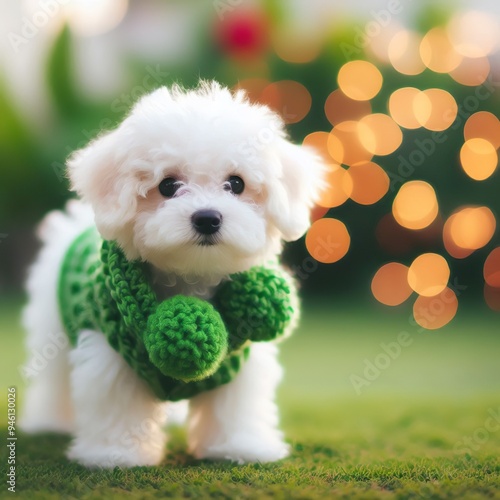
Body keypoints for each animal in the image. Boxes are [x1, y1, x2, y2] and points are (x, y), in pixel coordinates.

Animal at [19, 80, 324, 466]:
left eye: (236, 184)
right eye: (167, 185)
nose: (207, 218)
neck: (189, 280)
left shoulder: (239, 363)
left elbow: (234, 406)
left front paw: (239, 446)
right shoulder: (110, 351)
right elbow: (118, 405)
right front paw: (117, 454)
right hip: (53, 329)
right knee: (54, 381)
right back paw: (49, 422)